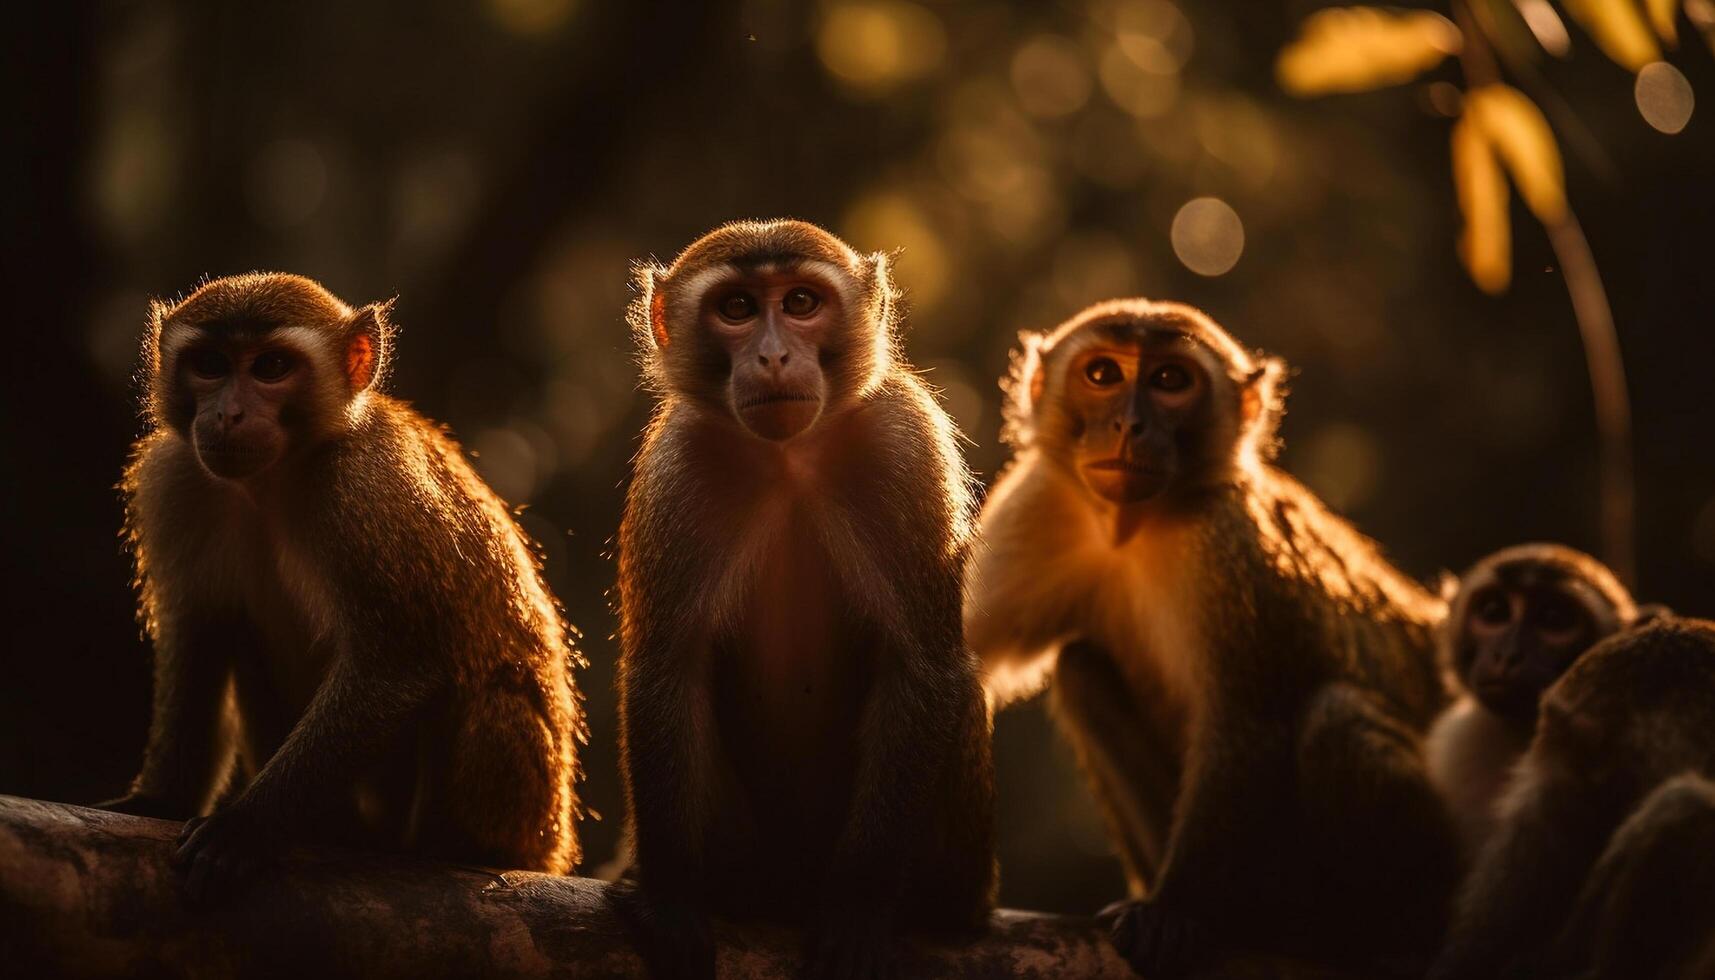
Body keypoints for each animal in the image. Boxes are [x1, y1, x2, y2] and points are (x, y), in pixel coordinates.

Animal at [100, 272, 583, 899]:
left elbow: (397, 665)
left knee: (488, 696)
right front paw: (159, 799)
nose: (228, 414)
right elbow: (199, 639)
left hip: (519, 807)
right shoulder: (177, 479)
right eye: (210, 365)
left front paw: (245, 825)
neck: (272, 480)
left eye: (271, 366)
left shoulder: (363, 486)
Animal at [967, 303, 1461, 974]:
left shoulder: (1228, 545)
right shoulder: (1038, 503)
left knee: (1337, 718)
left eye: (1171, 380)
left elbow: (1243, 728)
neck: (1132, 528)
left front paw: (1174, 909)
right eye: (1102, 374)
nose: (1129, 424)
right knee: (1081, 667)